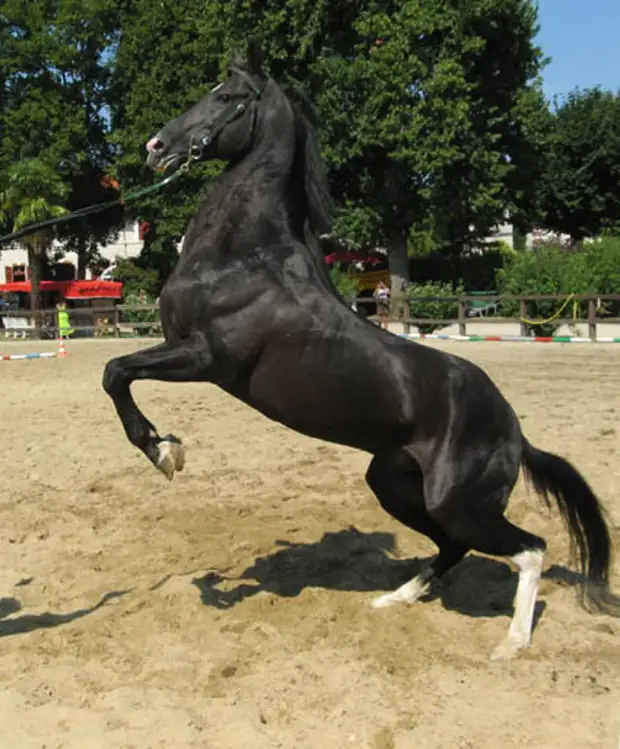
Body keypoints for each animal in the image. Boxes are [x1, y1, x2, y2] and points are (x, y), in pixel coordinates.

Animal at [103, 42, 620, 660]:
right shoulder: (189, 354)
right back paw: (393, 599)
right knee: (453, 548)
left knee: (528, 547)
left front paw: (164, 452)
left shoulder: (204, 359)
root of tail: (515, 431)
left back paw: (511, 643)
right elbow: (117, 373)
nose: (156, 147)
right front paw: (168, 451)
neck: (243, 258)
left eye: (225, 97)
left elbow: (115, 371)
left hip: (457, 501)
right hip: (395, 485)